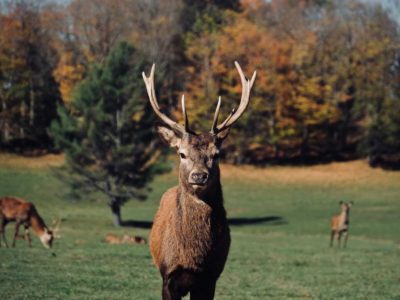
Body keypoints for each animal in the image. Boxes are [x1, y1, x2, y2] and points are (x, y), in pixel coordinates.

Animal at [143, 61, 256, 300]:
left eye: (217, 154)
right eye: (181, 154)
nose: (198, 175)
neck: (193, 257)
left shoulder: (210, 278)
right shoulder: (168, 276)